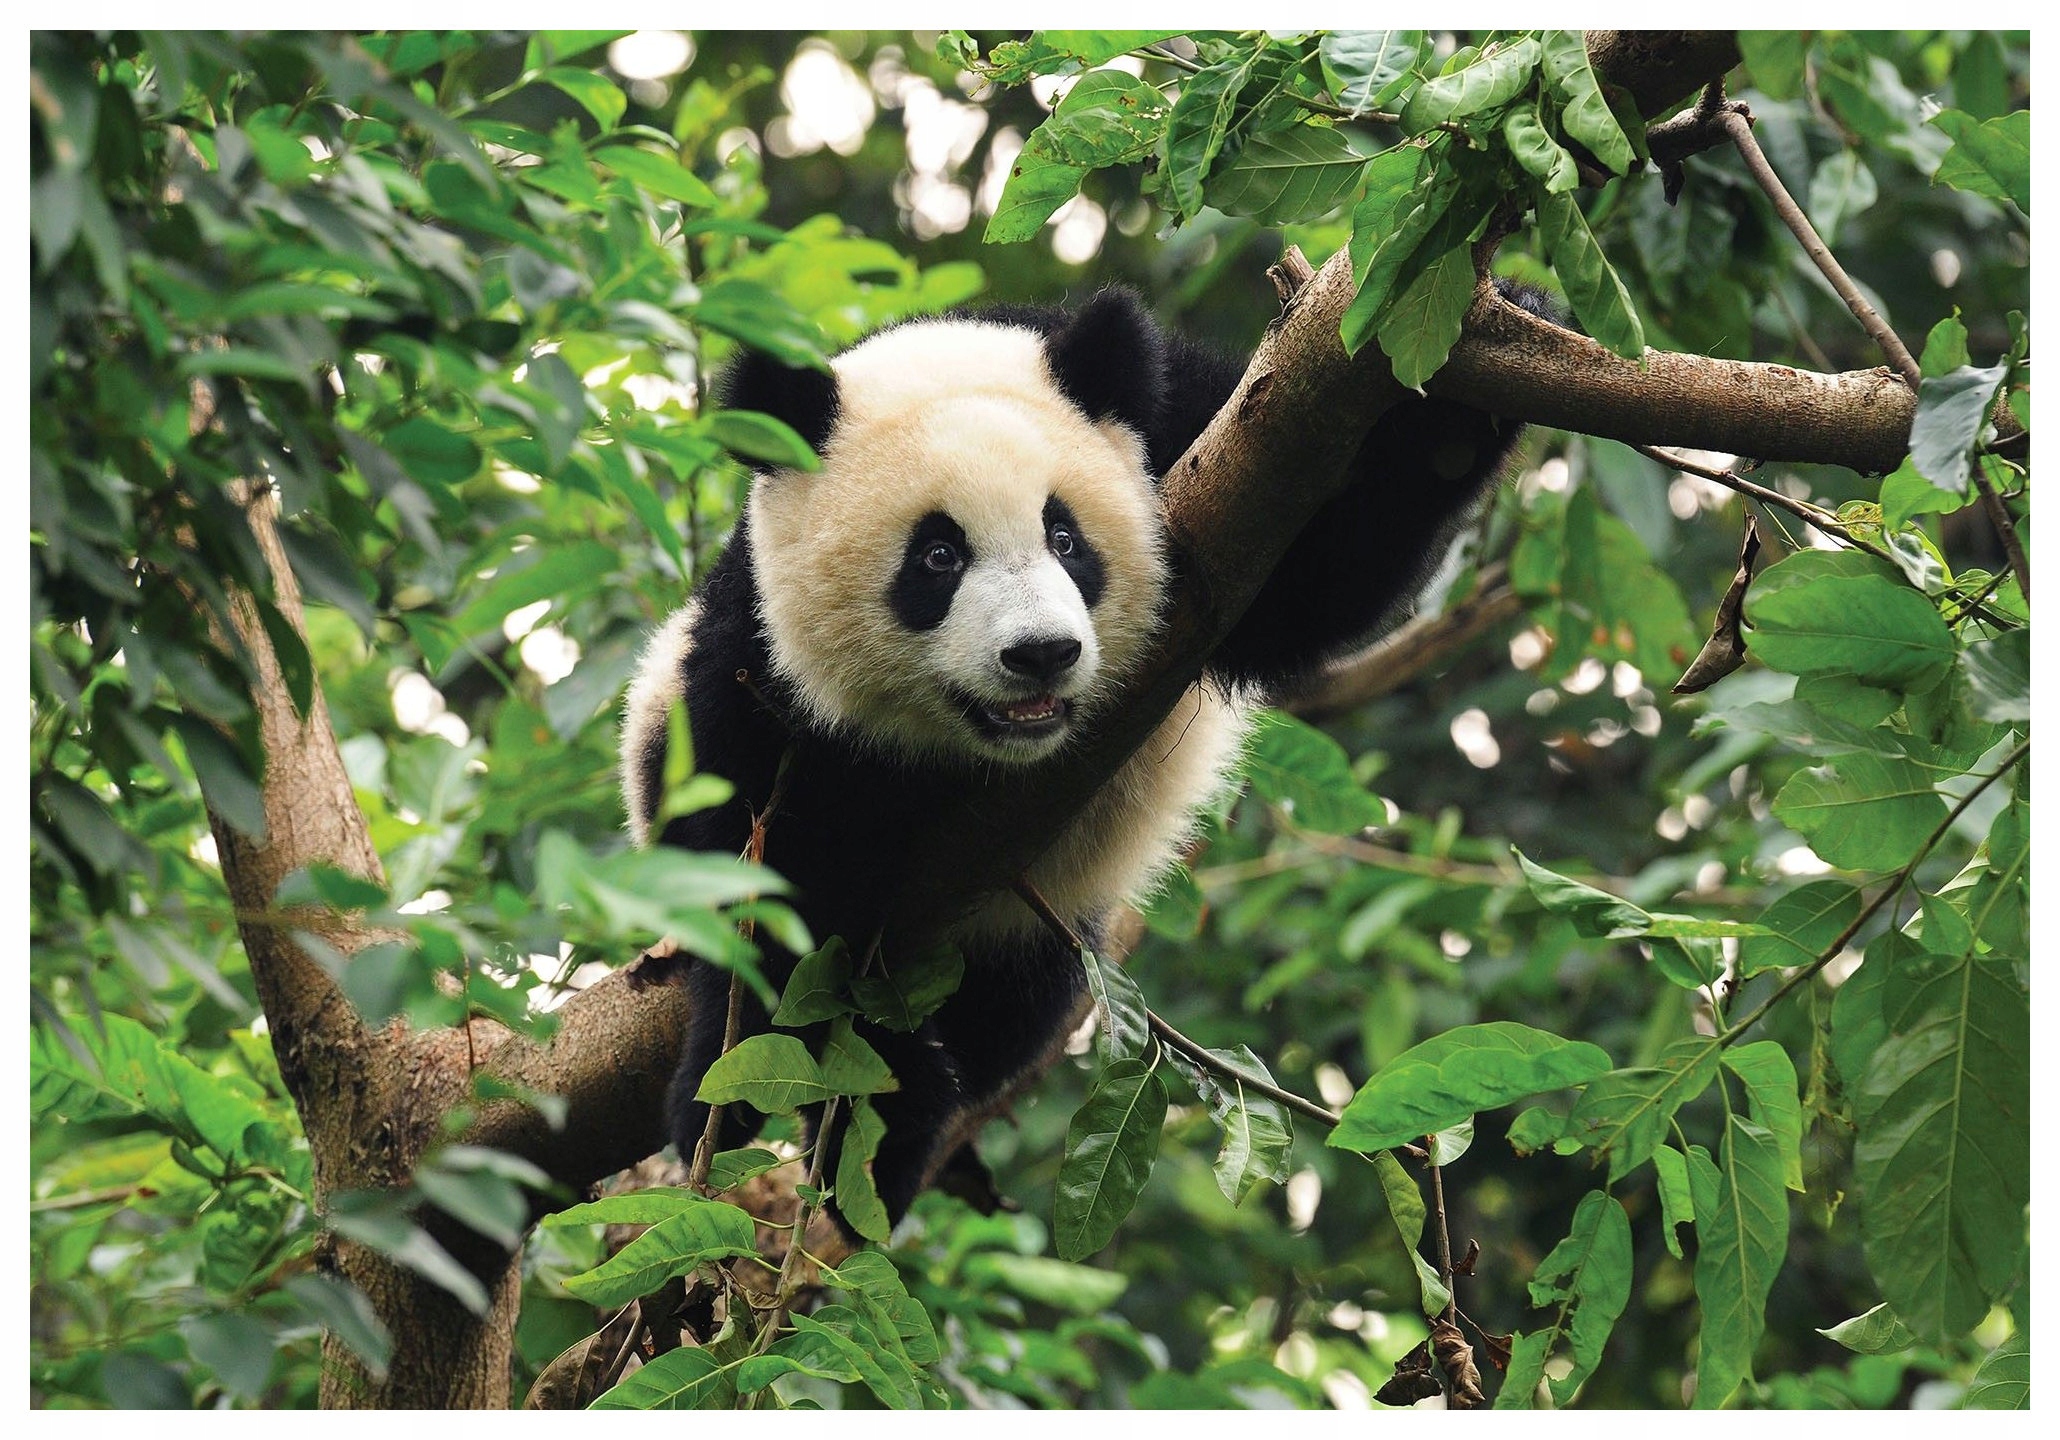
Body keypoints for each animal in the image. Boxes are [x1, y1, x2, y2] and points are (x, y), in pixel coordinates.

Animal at [621, 285, 1531, 1235]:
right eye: (937, 556)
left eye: (1065, 538)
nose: (1041, 654)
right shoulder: (756, 667)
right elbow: (767, 888)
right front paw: (770, 1097)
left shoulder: (1200, 444)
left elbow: (1316, 576)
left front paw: (1479, 376)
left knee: (1011, 1013)